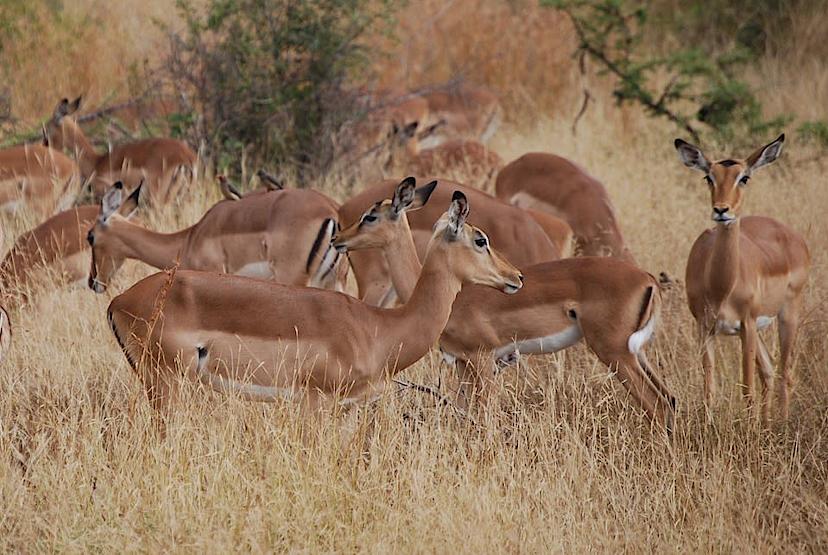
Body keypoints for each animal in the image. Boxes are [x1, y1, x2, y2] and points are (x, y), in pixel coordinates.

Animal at [88, 181, 347, 294]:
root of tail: (331, 210)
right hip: (334, 280)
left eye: (90, 237)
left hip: (293, 277)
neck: (190, 238)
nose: (93, 282)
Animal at [106, 191, 523, 416]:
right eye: (480, 239)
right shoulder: (314, 405)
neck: (377, 328)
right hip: (166, 383)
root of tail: (119, 300)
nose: (516, 277)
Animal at [674, 134, 809, 420]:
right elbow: (709, 390)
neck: (720, 287)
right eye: (709, 177)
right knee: (768, 370)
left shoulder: (745, 324)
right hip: (756, 330)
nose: (721, 210)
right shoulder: (705, 327)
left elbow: (747, 389)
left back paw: (781, 423)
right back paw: (767, 424)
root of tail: (792, 235)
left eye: (743, 177)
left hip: (786, 315)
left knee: (785, 373)